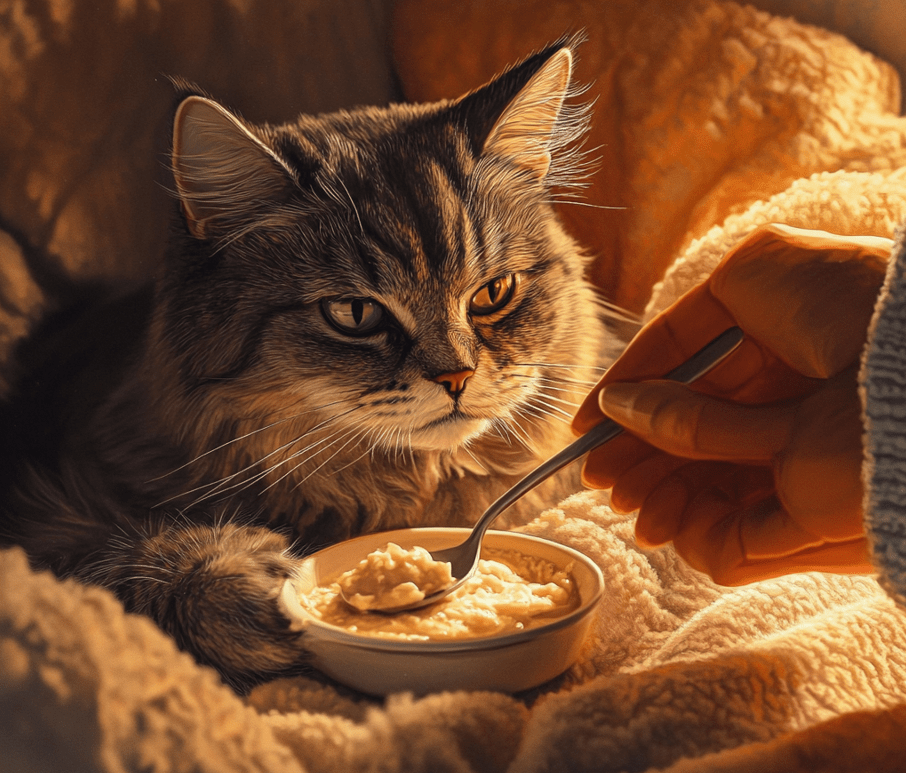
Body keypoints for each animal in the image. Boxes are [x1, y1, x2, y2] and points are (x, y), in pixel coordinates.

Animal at [0, 39, 620, 692]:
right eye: (354, 313)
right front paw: (249, 581)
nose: (456, 378)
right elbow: (130, 563)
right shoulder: (44, 523)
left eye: (493, 293)